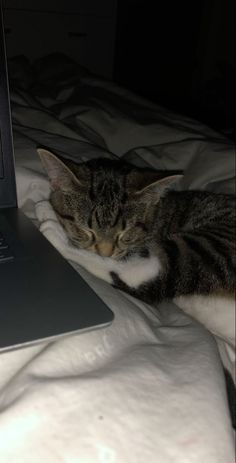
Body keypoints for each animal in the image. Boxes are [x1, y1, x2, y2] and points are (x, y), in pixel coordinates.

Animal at [37, 149, 235, 306]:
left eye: (125, 233)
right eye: (87, 230)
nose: (105, 253)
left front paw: (48, 215)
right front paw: (47, 208)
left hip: (213, 247)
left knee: (148, 272)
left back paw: (55, 234)